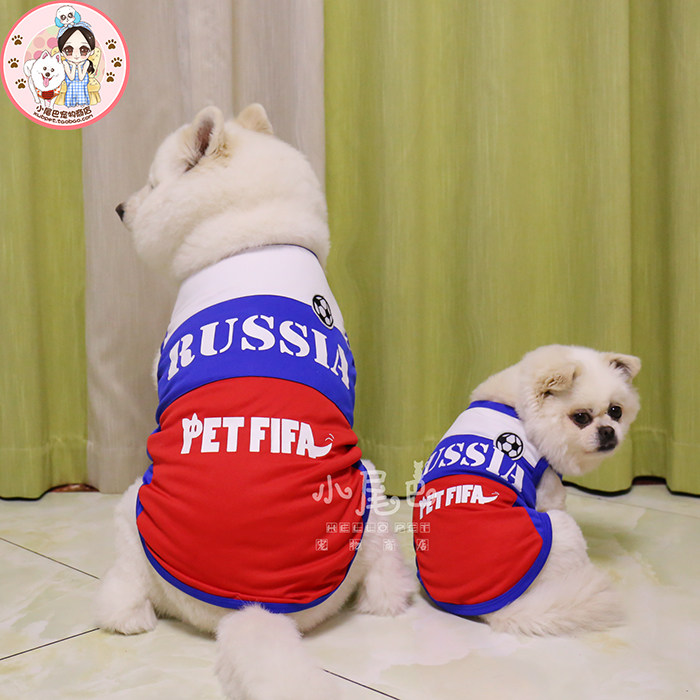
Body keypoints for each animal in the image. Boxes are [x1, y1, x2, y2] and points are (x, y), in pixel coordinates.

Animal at [98, 104, 415, 700]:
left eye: (152, 184)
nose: (120, 208)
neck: (256, 239)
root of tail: (253, 608)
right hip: (373, 497)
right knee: (386, 585)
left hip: (131, 509)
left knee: (123, 591)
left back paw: (124, 615)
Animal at [413, 344, 640, 635]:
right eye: (580, 417)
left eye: (616, 411)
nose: (608, 431)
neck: (516, 407)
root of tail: (495, 608)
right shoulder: (549, 490)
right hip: (561, 528)